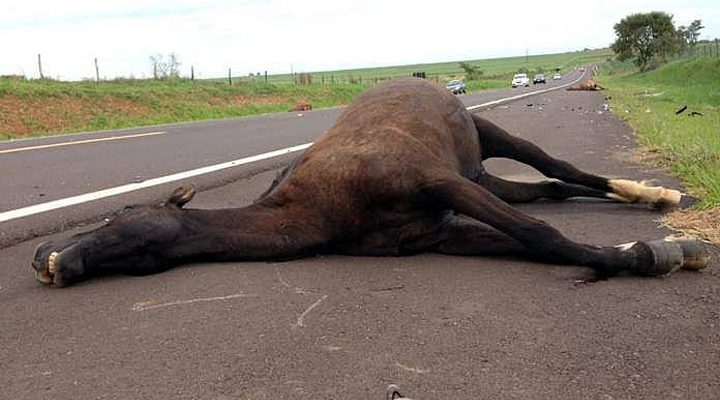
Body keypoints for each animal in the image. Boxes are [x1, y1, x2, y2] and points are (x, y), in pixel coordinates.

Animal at [31, 77, 704, 288]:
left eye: (118, 218)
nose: (45, 258)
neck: (321, 203)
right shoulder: (439, 232)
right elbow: (539, 241)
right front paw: (645, 252)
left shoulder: (441, 187)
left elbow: (544, 237)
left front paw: (657, 251)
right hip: (484, 175)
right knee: (553, 191)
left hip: (490, 140)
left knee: (561, 172)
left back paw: (658, 195)